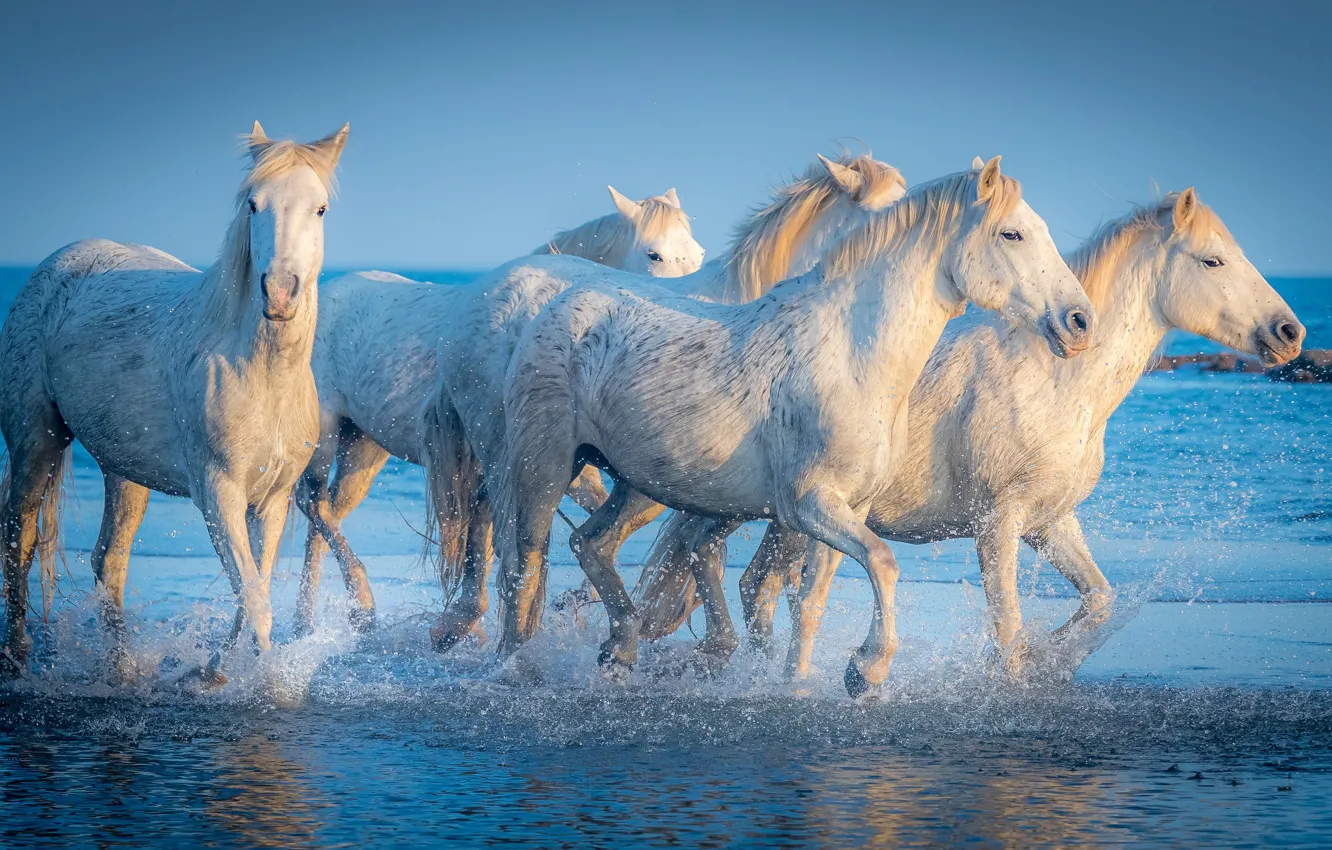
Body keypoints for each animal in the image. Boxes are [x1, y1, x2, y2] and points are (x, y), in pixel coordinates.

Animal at [0, 122, 348, 681]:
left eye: (320, 209)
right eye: (254, 204)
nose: (279, 293)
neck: (263, 373)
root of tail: (56, 266)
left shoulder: (270, 501)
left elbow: (251, 592)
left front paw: (212, 673)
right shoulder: (218, 494)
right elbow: (255, 601)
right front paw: (265, 684)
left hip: (123, 470)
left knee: (109, 562)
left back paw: (122, 669)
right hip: (37, 443)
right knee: (20, 540)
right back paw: (17, 655)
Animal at [294, 186, 705, 636]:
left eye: (698, 253)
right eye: (655, 255)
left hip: (364, 445)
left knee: (326, 516)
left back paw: (311, 620)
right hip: (325, 435)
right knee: (312, 503)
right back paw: (358, 606)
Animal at [492, 158, 1094, 697]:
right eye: (1011, 233)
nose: (1080, 321)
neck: (851, 353)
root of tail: (556, 307)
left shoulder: (849, 508)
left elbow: (811, 601)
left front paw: (798, 683)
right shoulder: (808, 504)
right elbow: (883, 562)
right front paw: (867, 670)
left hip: (637, 484)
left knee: (590, 544)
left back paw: (620, 652)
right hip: (546, 469)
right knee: (526, 566)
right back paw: (517, 668)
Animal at [637, 187, 1306, 682]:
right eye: (1211, 260)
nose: (1290, 332)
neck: (1053, 382)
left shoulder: (1051, 523)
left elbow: (1100, 602)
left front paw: (1049, 662)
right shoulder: (999, 526)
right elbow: (1008, 625)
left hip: (774, 514)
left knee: (738, 573)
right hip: (772, 510)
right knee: (727, 568)